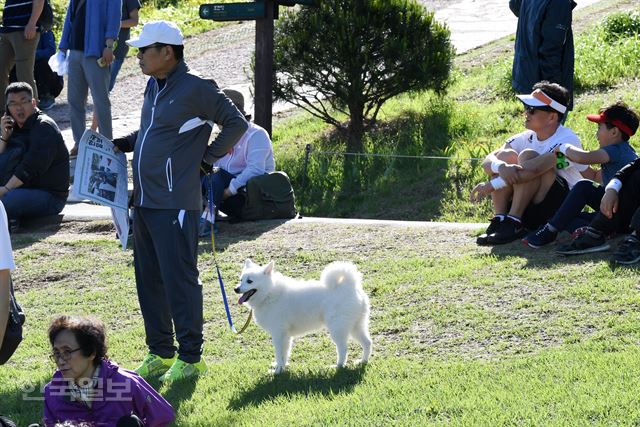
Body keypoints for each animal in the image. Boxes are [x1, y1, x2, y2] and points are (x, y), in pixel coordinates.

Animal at [236, 260, 372, 372]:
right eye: (241, 280)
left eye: (250, 281)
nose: (236, 289)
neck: (269, 293)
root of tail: (350, 285)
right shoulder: (285, 336)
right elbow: (284, 354)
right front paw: (282, 367)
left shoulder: (278, 335)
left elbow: (279, 354)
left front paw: (277, 371)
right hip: (356, 326)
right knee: (367, 343)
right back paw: (363, 361)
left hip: (338, 329)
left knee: (343, 348)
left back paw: (338, 366)